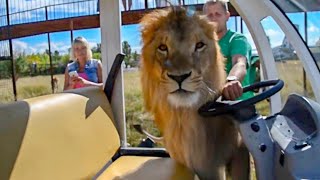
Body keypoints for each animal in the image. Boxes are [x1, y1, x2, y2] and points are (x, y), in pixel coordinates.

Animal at [140, 6, 250, 179]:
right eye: (163, 47)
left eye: (199, 45)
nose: (179, 77)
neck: (184, 117)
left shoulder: (238, 151)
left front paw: (232, 87)